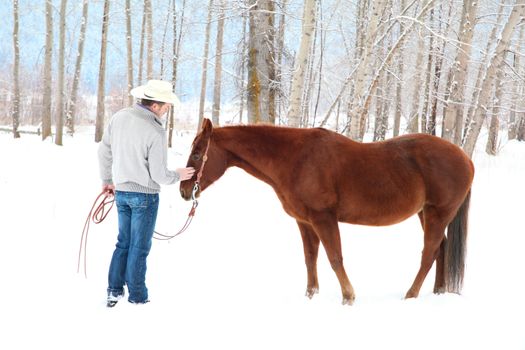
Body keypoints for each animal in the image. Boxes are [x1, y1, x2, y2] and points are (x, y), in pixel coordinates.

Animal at [178, 119, 472, 304]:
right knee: (441, 248)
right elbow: (311, 258)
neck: (296, 159)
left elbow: (335, 257)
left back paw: (411, 295)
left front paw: (348, 297)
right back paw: (438, 291)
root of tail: (466, 158)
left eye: (197, 154)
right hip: (426, 213)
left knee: (429, 253)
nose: (183, 190)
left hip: (438, 213)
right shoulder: (305, 222)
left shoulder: (324, 218)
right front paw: (311, 295)